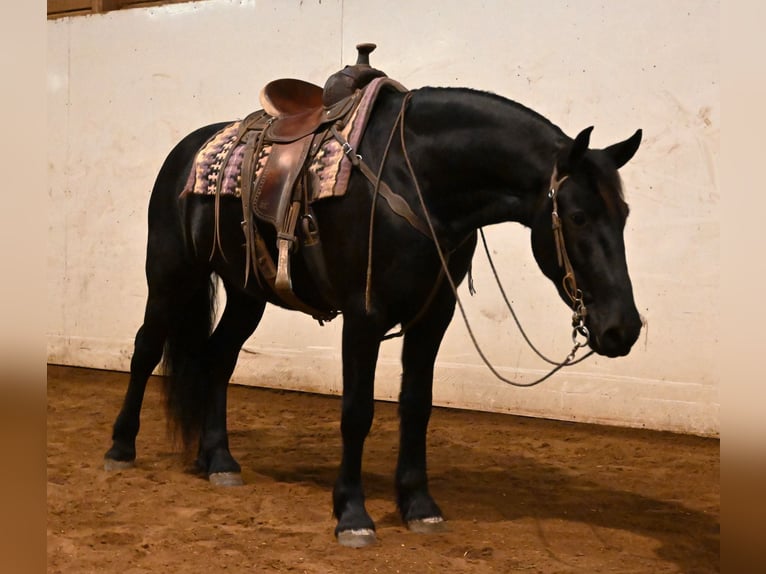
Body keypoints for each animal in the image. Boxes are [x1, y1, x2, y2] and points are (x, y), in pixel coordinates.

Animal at [102, 79, 640, 548]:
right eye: (578, 216)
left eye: (624, 215)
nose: (624, 329)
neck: (416, 179)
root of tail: (188, 150)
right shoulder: (364, 316)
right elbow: (357, 412)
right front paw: (353, 515)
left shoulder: (432, 318)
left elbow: (416, 407)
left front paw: (419, 506)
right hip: (171, 273)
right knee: (146, 349)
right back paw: (121, 448)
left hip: (246, 292)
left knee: (218, 359)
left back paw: (218, 460)